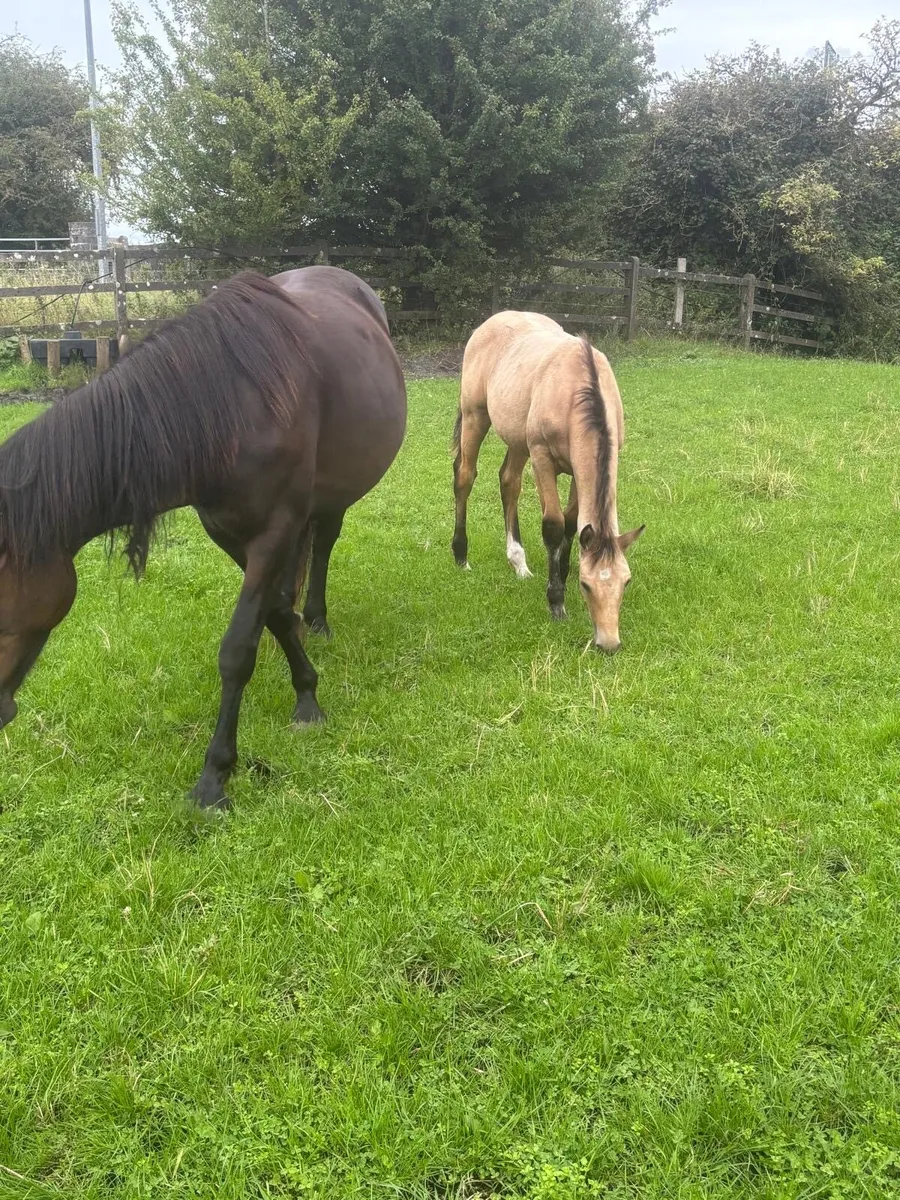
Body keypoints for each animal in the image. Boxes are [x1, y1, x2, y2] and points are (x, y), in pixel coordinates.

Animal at [0, 266, 407, 809]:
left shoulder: (273, 530)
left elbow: (237, 650)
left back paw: (318, 618)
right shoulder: (229, 533)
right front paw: (305, 690)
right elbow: (274, 612)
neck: (228, 408)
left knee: (323, 544)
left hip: (335, 493)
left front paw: (215, 777)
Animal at [451, 312, 643, 652]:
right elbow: (554, 525)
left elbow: (572, 523)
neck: (577, 391)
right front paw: (556, 603)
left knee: (509, 482)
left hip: (517, 439)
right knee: (465, 477)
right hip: (476, 417)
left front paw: (560, 577)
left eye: (627, 581)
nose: (608, 643)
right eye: (586, 585)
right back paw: (461, 556)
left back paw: (519, 562)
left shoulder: (579, 470)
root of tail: (491, 321)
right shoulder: (542, 458)